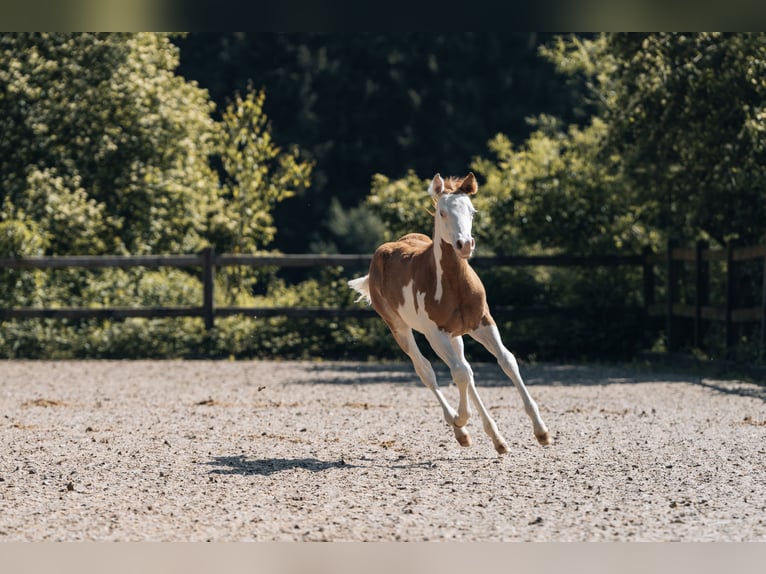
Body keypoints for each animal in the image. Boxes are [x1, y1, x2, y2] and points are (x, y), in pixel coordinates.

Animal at [348, 171, 552, 454]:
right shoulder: (436, 334)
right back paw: (460, 430)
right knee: (428, 371)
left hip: (457, 335)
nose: (464, 244)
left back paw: (497, 439)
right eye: (443, 212)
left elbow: (506, 361)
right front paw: (460, 419)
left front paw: (541, 431)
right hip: (400, 328)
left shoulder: (483, 323)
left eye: (472, 211)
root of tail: (381, 253)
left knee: (466, 371)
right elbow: (458, 373)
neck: (454, 284)